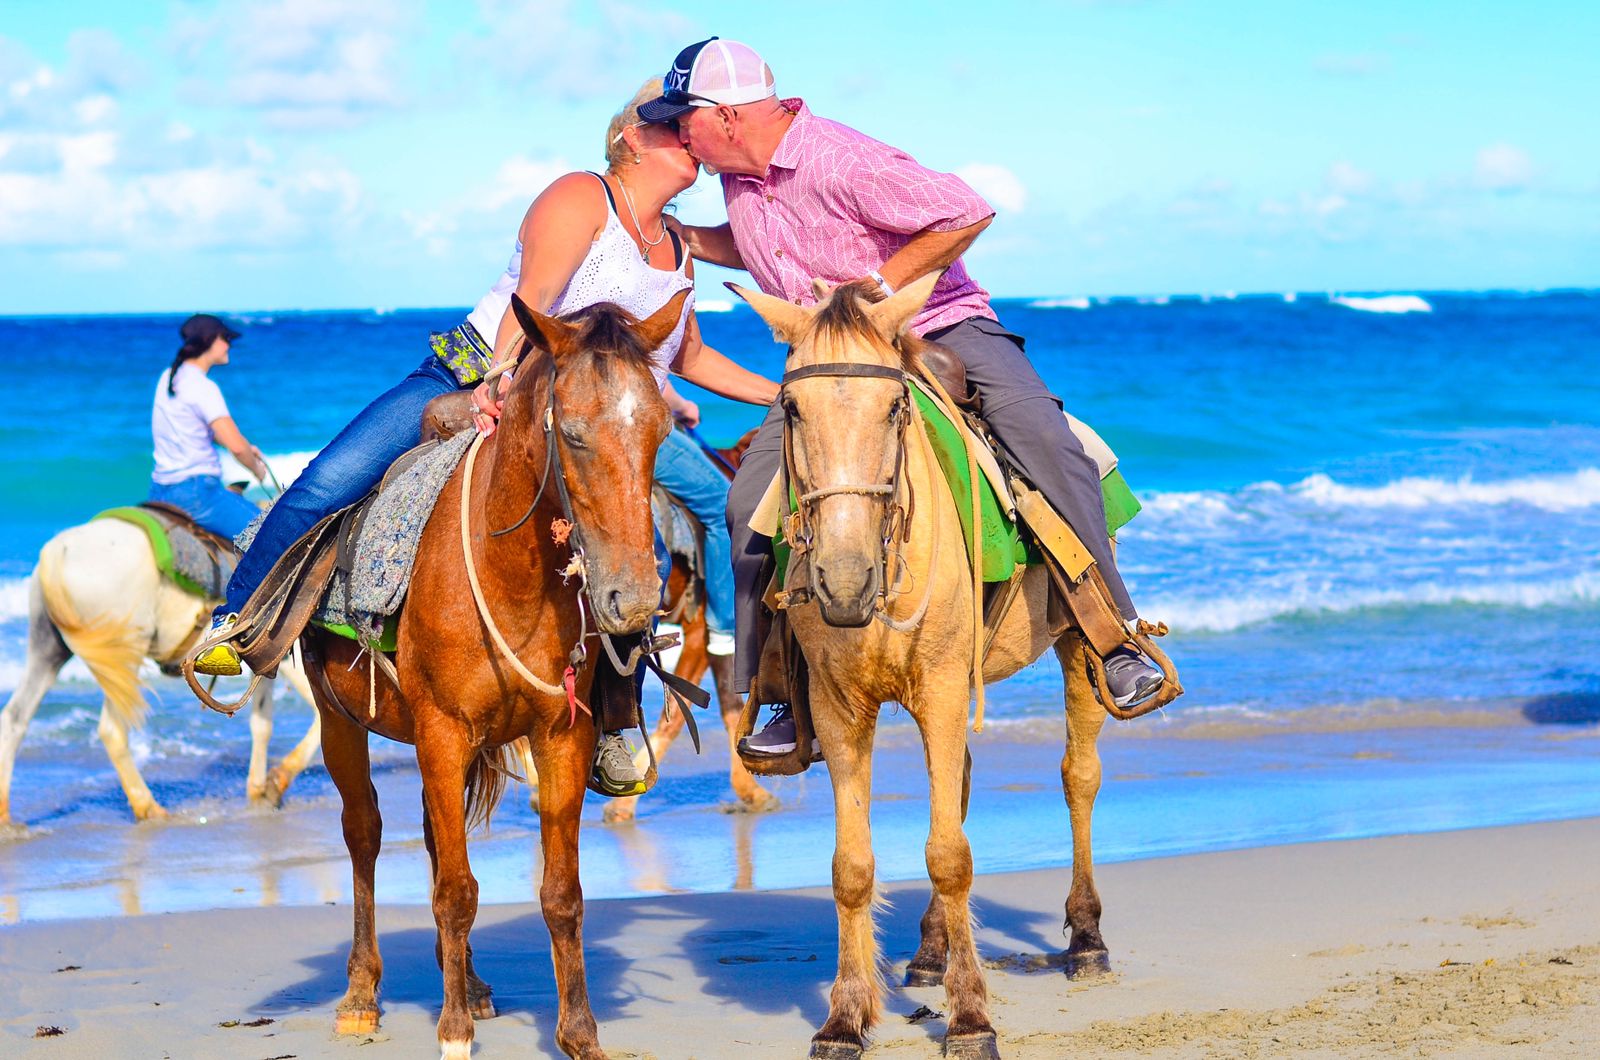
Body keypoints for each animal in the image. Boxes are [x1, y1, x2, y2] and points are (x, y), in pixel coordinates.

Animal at [0, 517, 320, 829]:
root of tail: (56, 554)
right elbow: (317, 714)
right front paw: (276, 782)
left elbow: (262, 723)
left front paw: (259, 791)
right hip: (125, 652)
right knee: (112, 729)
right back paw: (148, 808)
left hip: (48, 649)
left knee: (15, 720)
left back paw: (6, 818)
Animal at [296, 290, 687, 1060]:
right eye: (573, 434)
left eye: (660, 428)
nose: (631, 599)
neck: (511, 578)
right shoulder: (442, 734)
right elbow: (455, 891)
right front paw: (451, 1032)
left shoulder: (560, 736)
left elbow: (560, 894)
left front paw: (579, 1034)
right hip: (340, 723)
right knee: (366, 834)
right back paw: (362, 995)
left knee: (433, 840)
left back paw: (470, 984)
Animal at [729, 274, 1120, 1060]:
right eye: (792, 408)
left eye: (894, 407)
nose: (844, 580)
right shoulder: (840, 708)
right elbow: (853, 867)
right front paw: (845, 1019)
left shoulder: (941, 689)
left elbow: (950, 855)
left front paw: (970, 1019)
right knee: (962, 785)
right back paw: (932, 953)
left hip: (1077, 646)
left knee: (1079, 775)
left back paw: (1086, 937)